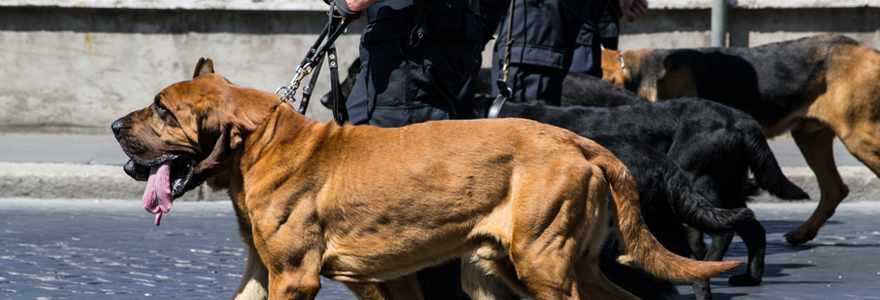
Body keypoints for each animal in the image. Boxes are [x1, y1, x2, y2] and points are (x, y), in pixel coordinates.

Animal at [111, 58, 744, 300]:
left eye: (162, 110)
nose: (115, 126)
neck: (261, 145)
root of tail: (579, 142)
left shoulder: (294, 277)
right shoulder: (264, 273)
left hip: (541, 265)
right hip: (533, 265)